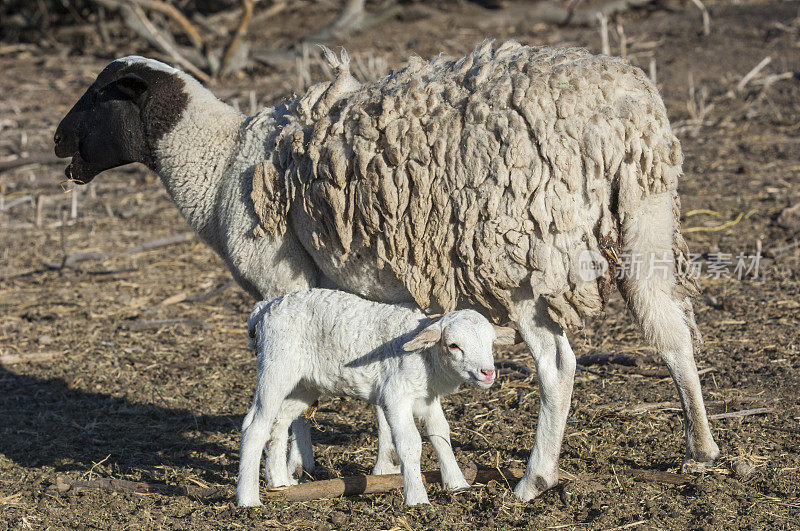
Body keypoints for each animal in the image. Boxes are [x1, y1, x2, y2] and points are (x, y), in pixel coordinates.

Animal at [234, 288, 516, 510]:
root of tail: (264, 307)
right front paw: (417, 498)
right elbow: (410, 444)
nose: (488, 372)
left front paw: (458, 484)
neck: (426, 358)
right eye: (454, 345)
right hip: (276, 367)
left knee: (278, 422)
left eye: (491, 342)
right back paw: (248, 499)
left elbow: (441, 435)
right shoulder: (396, 396)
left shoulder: (427, 398)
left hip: (304, 384)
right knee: (254, 426)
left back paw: (279, 480)